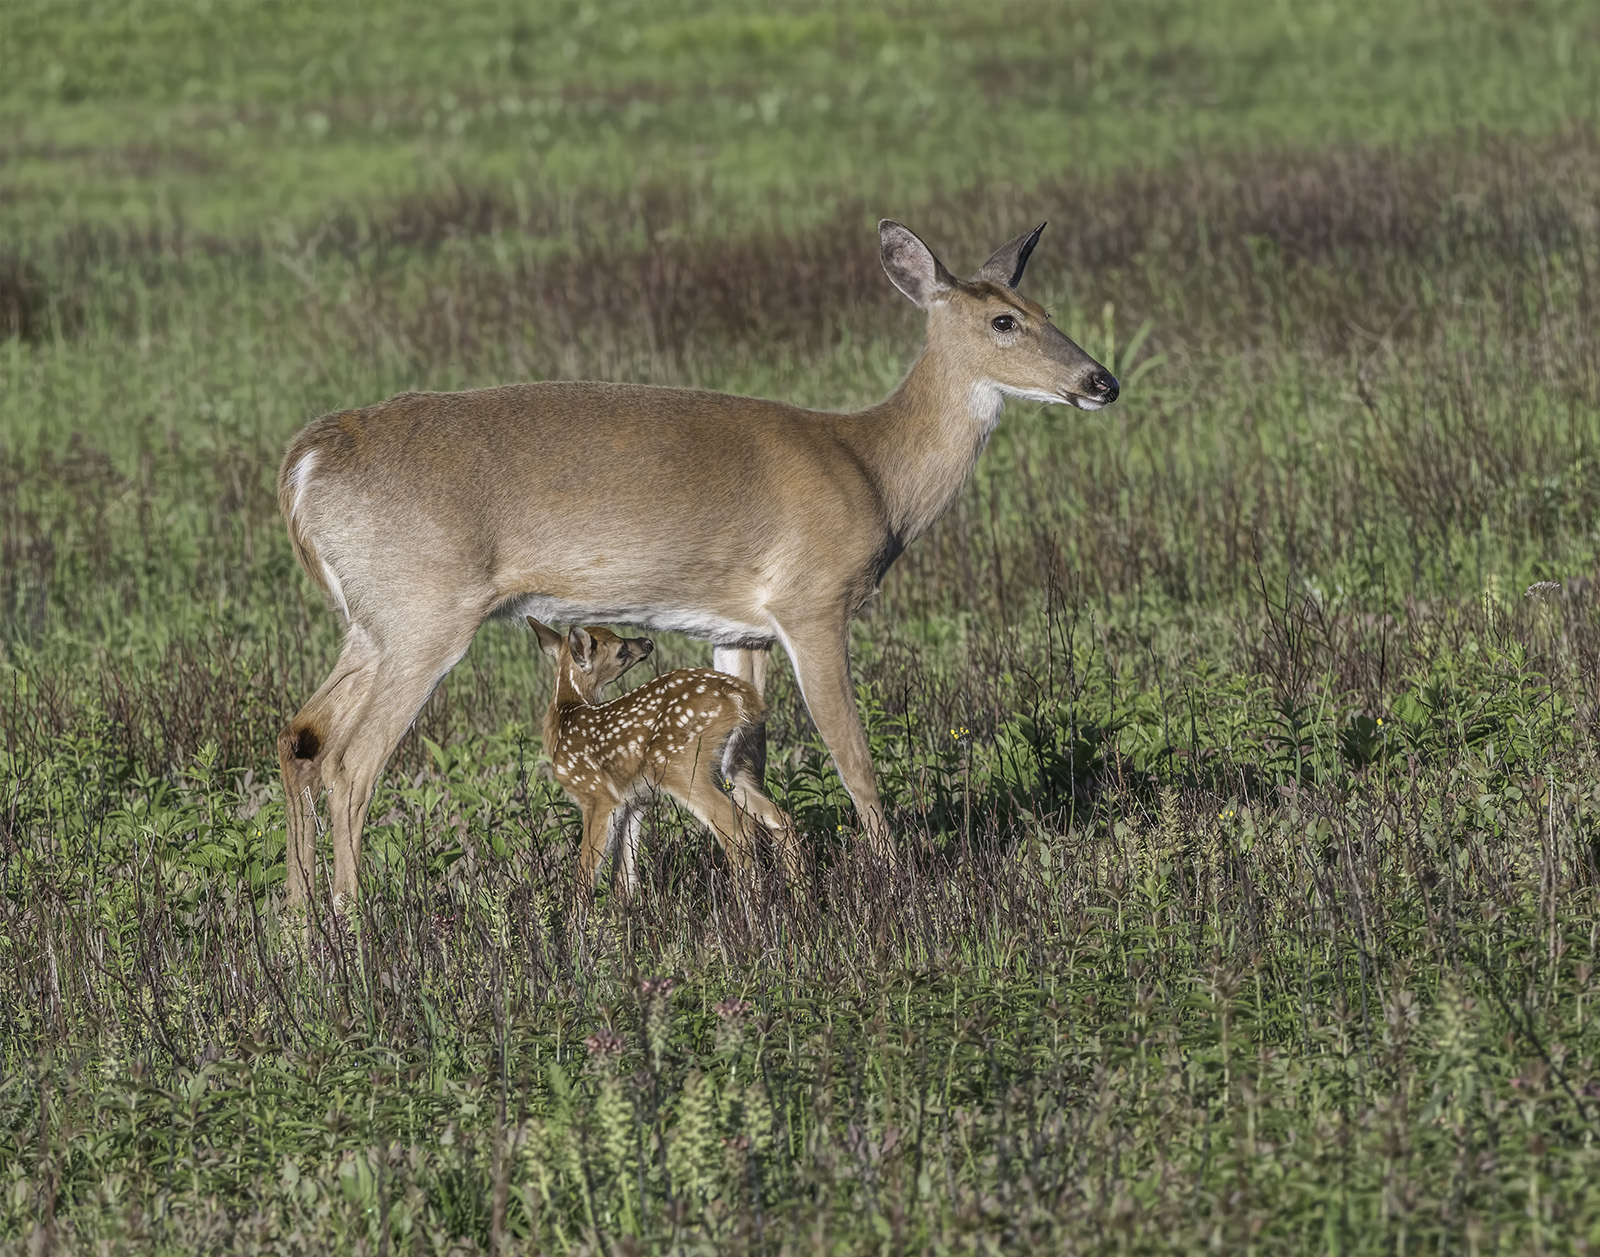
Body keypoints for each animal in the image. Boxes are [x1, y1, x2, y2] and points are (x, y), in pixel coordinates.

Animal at [526, 617, 800, 895]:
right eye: (620, 650)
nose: (647, 642)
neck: (566, 717)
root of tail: (740, 696)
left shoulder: (596, 794)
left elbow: (585, 873)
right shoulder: (634, 801)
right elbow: (623, 876)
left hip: (678, 765)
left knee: (735, 828)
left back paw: (750, 903)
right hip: (730, 767)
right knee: (778, 818)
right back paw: (798, 894)